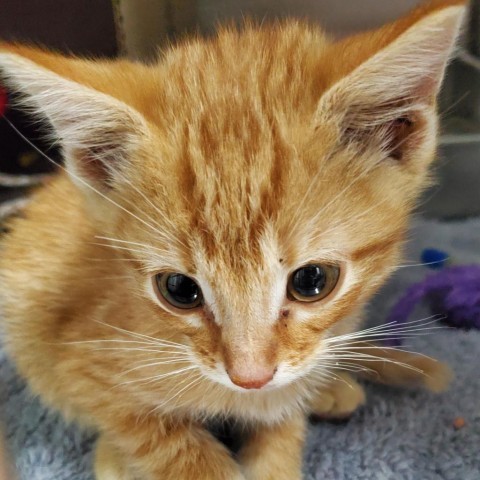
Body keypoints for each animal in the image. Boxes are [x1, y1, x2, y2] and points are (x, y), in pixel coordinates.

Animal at [0, 0, 466, 480]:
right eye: (178, 289)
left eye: (313, 280)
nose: (250, 378)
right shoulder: (77, 361)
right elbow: (157, 436)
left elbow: (281, 428)